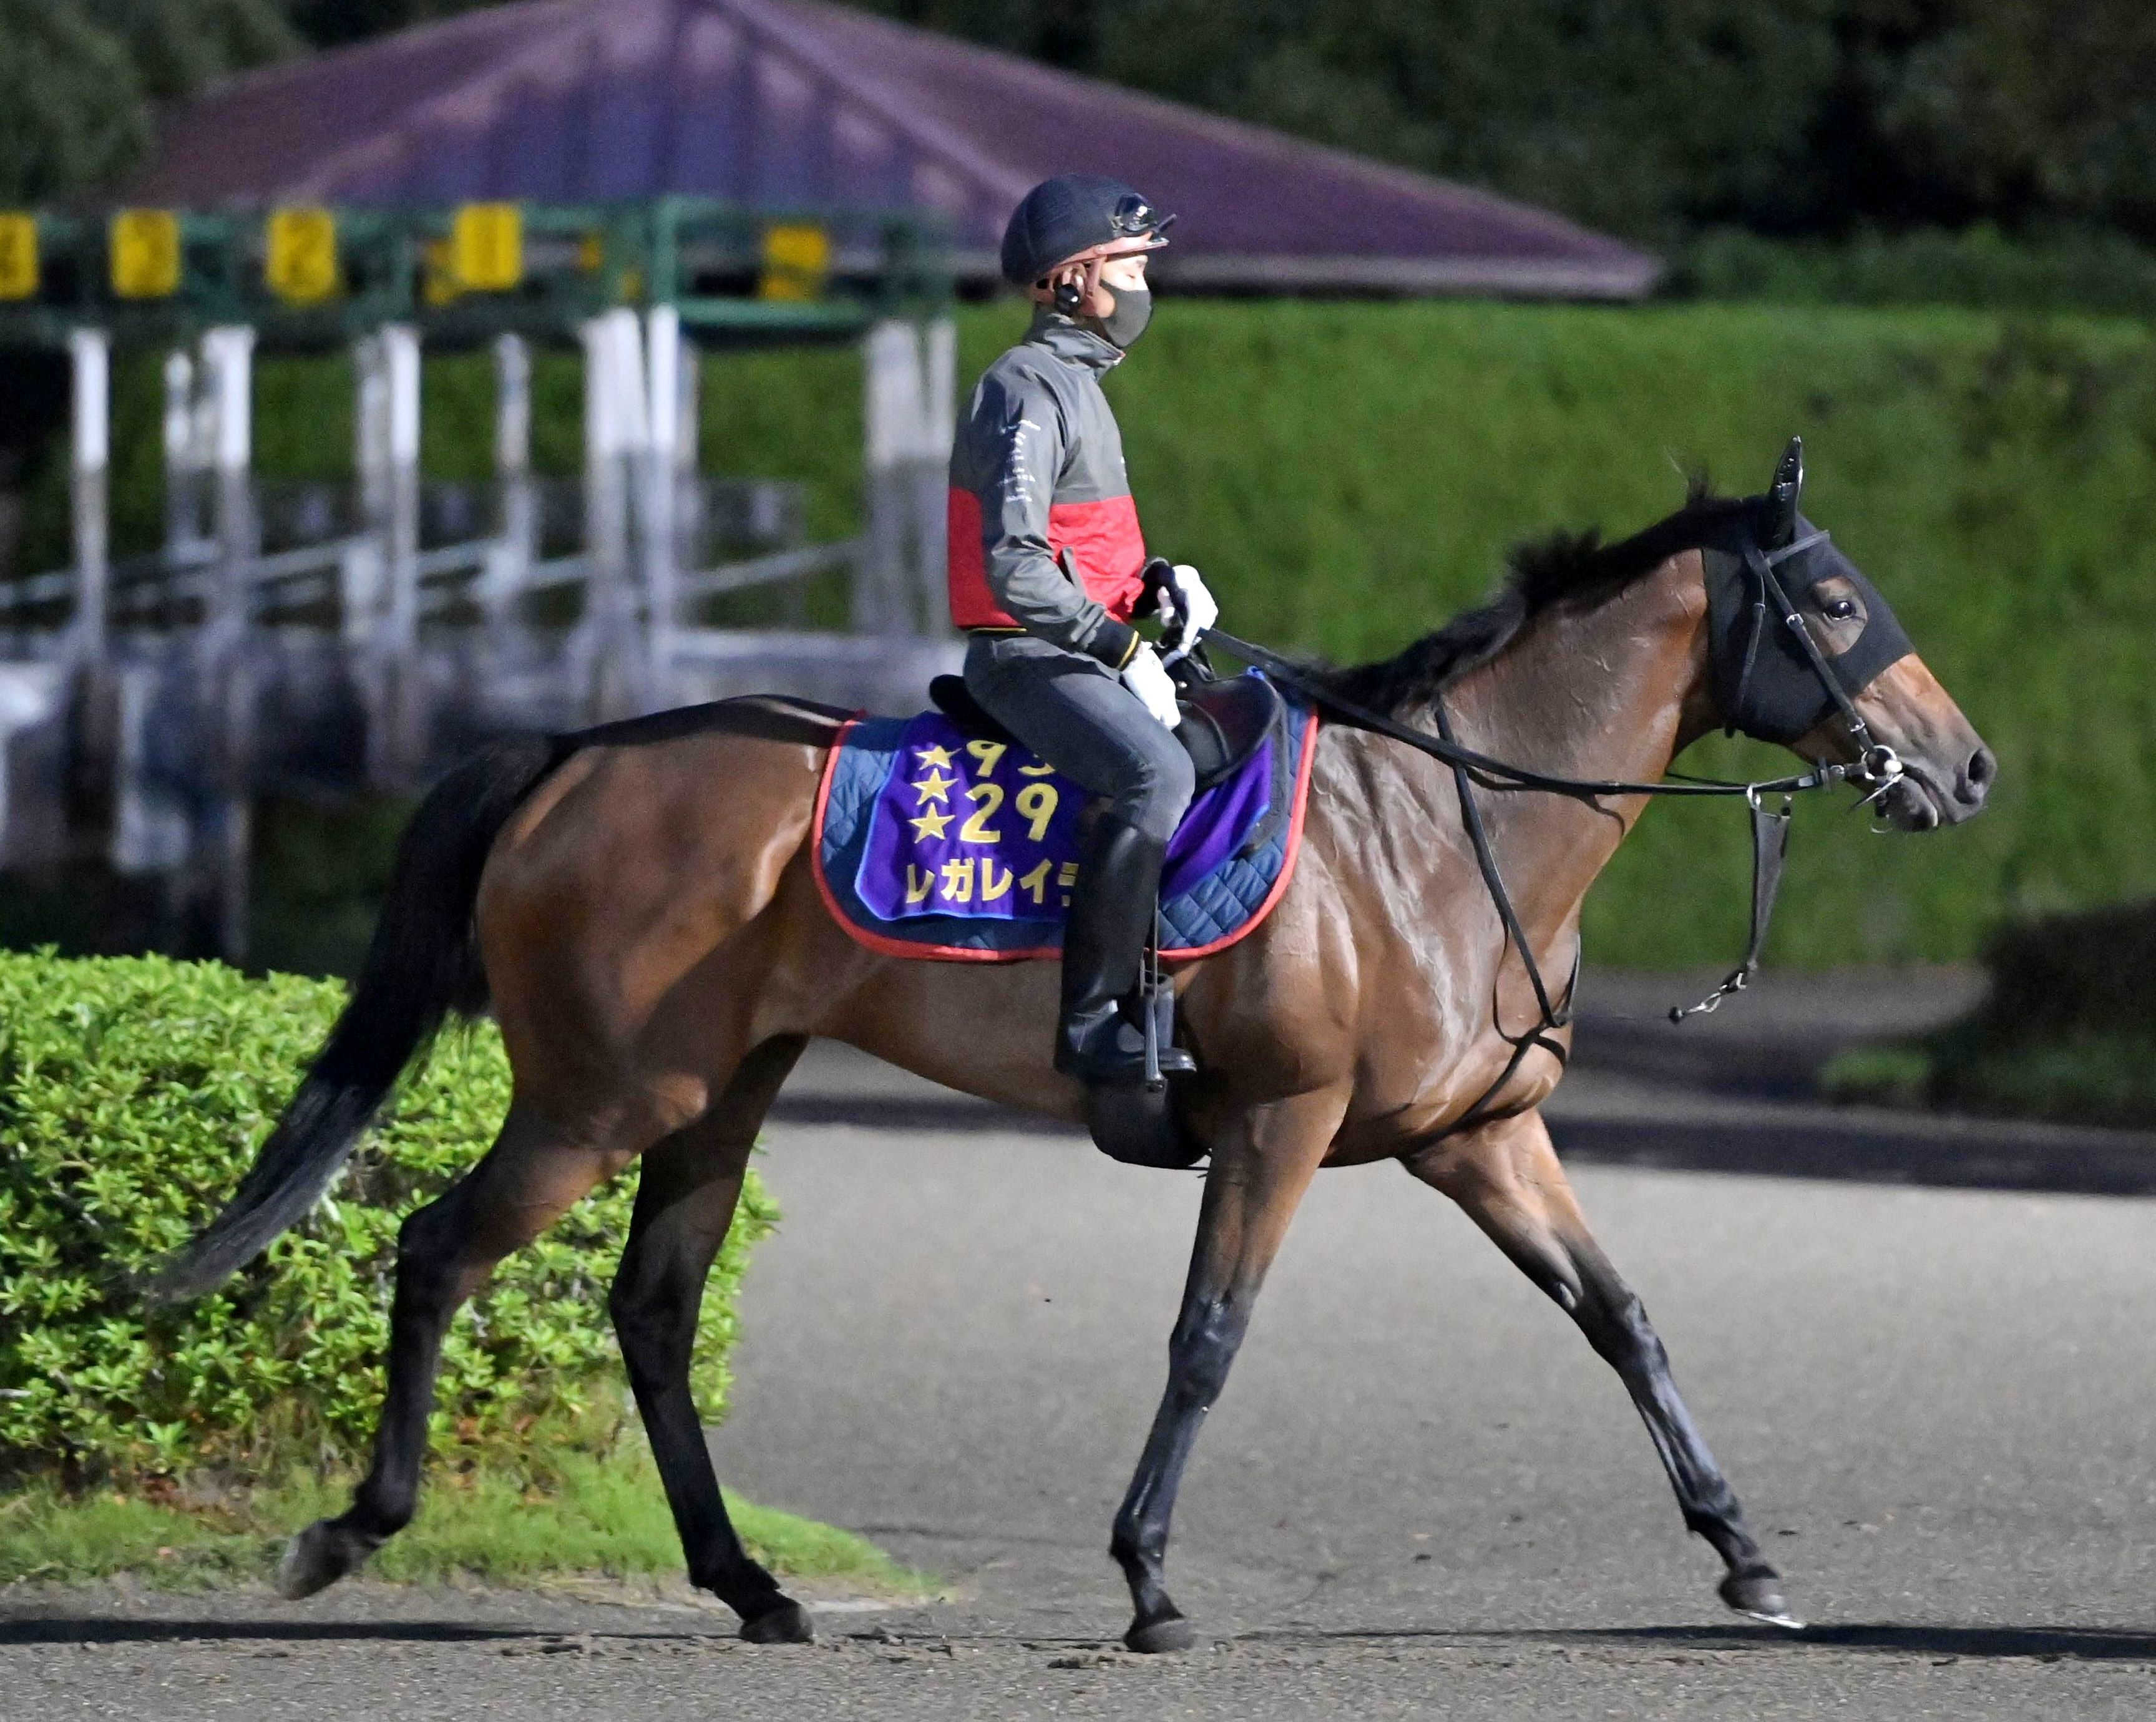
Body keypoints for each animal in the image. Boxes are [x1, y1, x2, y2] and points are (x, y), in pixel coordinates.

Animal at [155, 445, 1992, 1653]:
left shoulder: (1479, 1135)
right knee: (435, 1249)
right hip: (599, 1097)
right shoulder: (1279, 1122)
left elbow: (1619, 1318)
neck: (1426, 823)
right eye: (1836, 599)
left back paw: (750, 1586)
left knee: (653, 1312)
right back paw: (351, 1530)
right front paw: (1149, 1580)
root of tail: (578, 751)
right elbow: (1206, 1338)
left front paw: (1742, 1553)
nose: (1964, 769)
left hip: (716, 1094)